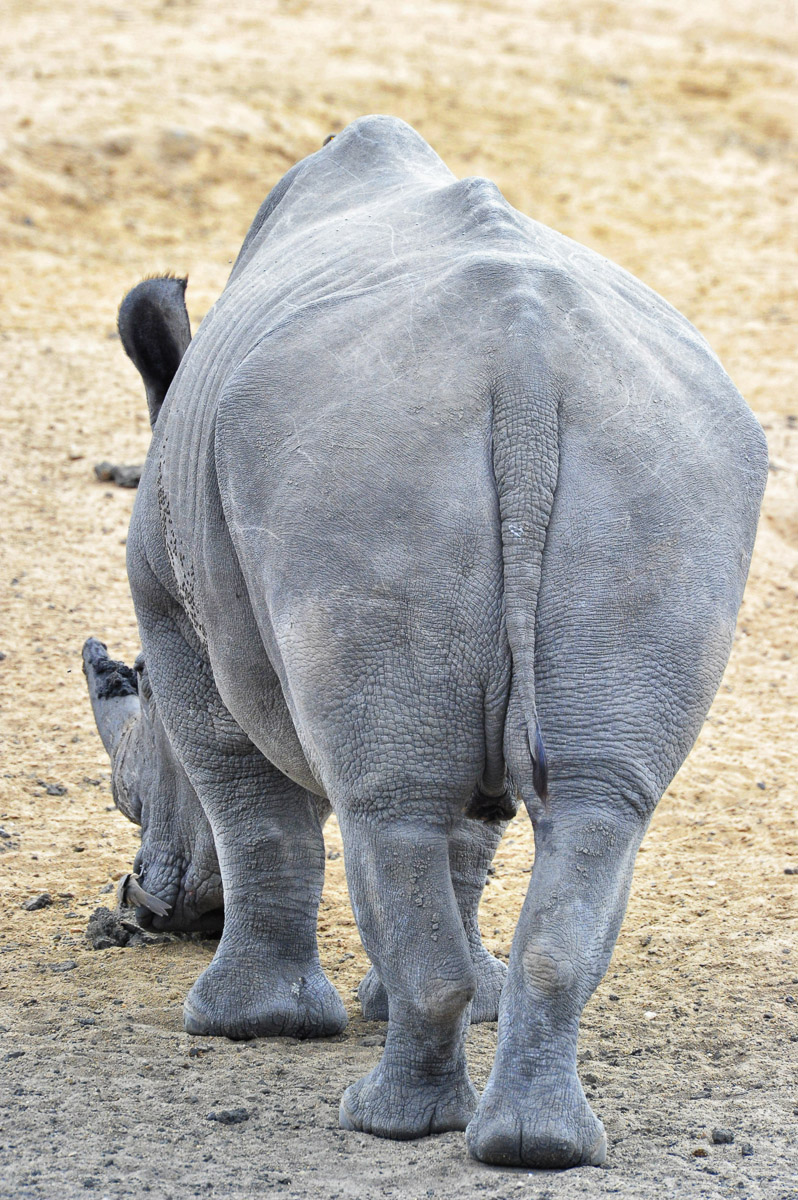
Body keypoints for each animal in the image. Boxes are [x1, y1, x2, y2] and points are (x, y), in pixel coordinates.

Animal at [82, 115, 766, 1169]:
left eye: (134, 687)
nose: (152, 911)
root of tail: (525, 362)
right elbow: (469, 840)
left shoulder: (172, 610)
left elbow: (249, 804)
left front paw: (247, 1024)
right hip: (659, 468)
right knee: (591, 805)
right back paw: (536, 1147)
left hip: (363, 464)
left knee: (386, 803)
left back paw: (386, 1121)